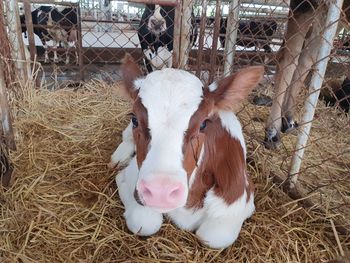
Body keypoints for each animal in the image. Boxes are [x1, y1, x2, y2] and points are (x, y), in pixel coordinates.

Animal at [111, 54, 262, 250]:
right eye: (135, 119)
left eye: (204, 124)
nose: (160, 191)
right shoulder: (134, 174)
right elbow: (144, 221)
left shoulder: (242, 196)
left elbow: (213, 236)